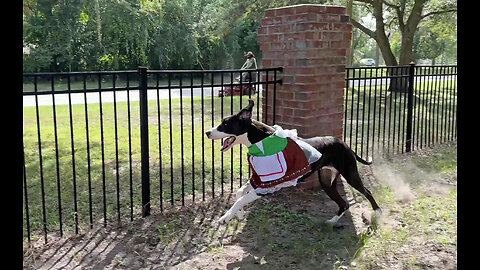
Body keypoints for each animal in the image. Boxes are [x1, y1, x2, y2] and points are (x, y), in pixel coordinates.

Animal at [206, 99, 382, 226]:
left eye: (225, 124)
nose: (207, 132)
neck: (262, 141)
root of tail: (344, 143)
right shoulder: (257, 179)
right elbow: (239, 193)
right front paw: (240, 214)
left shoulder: (266, 187)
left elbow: (241, 199)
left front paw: (225, 217)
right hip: (326, 182)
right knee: (344, 204)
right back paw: (332, 221)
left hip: (351, 175)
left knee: (367, 192)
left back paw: (378, 213)